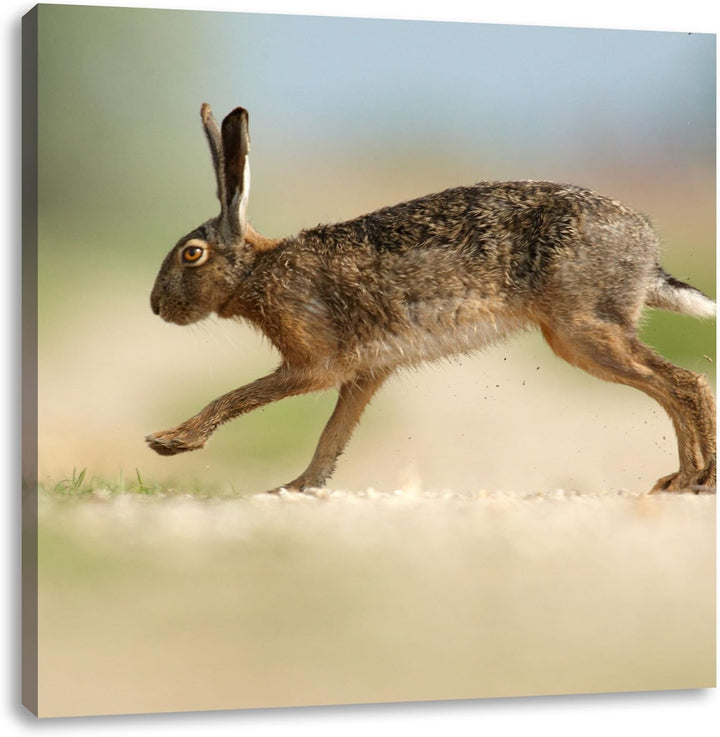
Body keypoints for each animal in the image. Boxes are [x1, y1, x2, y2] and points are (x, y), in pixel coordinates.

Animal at [147, 104, 716, 494]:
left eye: (192, 255)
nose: (155, 307)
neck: (255, 270)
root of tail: (647, 248)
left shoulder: (315, 364)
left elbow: (241, 396)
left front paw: (171, 442)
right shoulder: (366, 373)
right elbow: (333, 436)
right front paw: (295, 488)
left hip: (582, 328)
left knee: (685, 383)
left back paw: (696, 479)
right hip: (582, 334)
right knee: (673, 386)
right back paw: (680, 479)